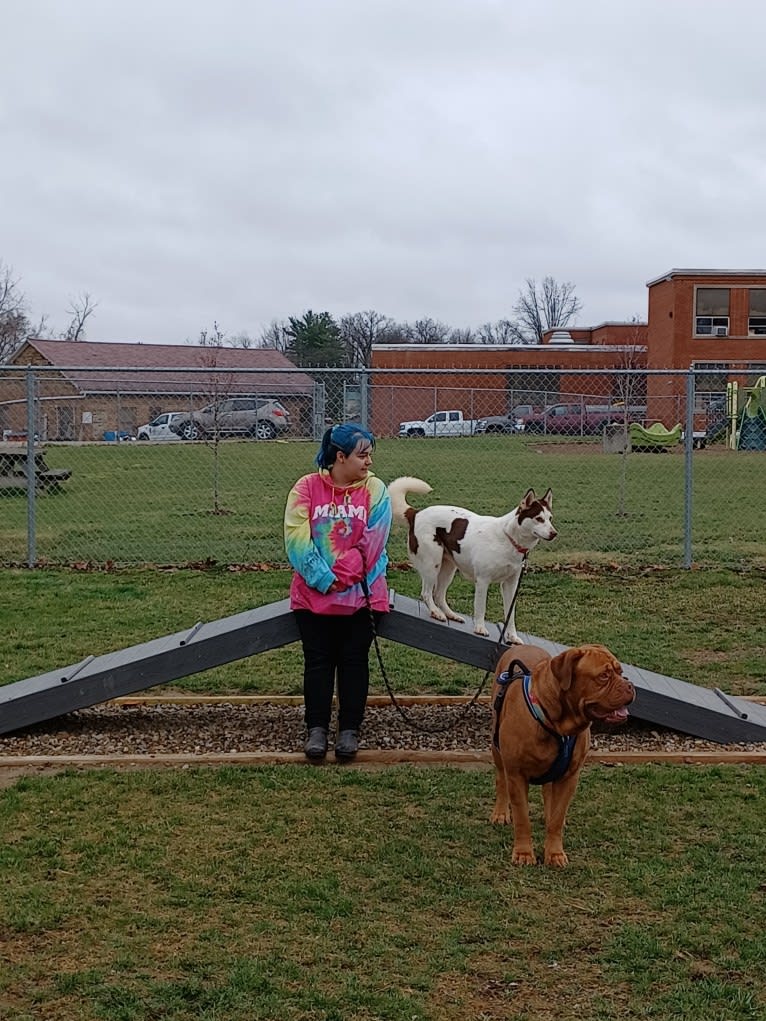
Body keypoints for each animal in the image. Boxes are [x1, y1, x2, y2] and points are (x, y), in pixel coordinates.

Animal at [390, 475, 559, 637]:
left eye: (550, 519)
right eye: (539, 519)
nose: (554, 533)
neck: (509, 539)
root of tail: (416, 513)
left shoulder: (510, 585)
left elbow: (510, 616)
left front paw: (512, 637)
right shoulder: (483, 581)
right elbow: (481, 608)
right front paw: (480, 628)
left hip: (448, 569)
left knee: (438, 594)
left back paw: (451, 614)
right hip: (432, 565)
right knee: (426, 593)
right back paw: (436, 613)